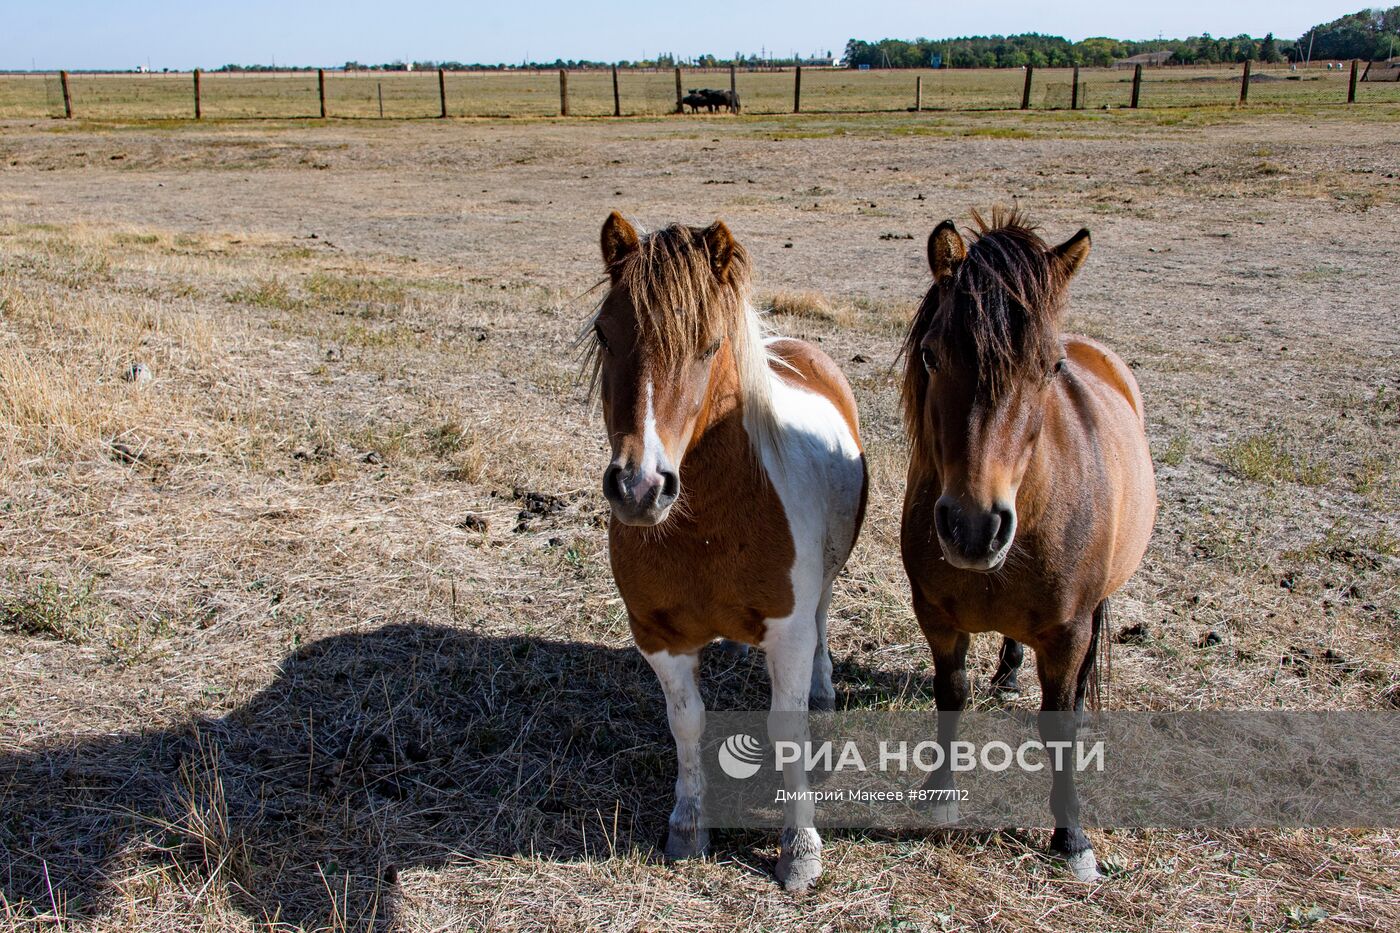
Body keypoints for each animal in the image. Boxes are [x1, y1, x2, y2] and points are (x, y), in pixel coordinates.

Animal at [579, 208, 862, 885]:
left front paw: (799, 850)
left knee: (824, 616)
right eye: (605, 333)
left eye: (709, 344)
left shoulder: (788, 632)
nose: (639, 487)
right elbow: (687, 723)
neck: (707, 527)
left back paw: (824, 689)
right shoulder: (658, 636)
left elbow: (787, 729)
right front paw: (688, 825)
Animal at [901, 208, 1153, 879]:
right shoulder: (938, 620)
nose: (973, 527)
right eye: (932, 355)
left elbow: (1058, 725)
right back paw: (1010, 670)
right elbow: (951, 697)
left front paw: (1072, 839)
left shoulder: (1066, 632)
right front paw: (939, 797)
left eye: (1049, 368)